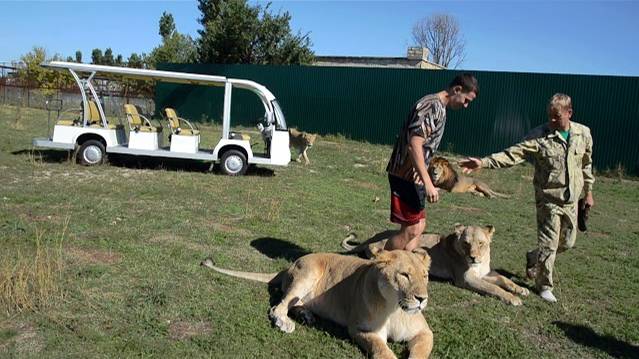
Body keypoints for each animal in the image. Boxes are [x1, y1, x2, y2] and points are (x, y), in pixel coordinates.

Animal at [201, 250, 436, 359]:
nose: (422, 299)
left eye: (425, 276)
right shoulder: (360, 329)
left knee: (293, 303)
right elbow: (381, 348)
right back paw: (285, 322)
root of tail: (289, 265)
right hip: (308, 272)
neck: (395, 309)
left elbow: (421, 351)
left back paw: (306, 315)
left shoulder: (425, 332)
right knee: (279, 306)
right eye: (404, 275)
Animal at [344, 225, 528, 306]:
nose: (473, 257)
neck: (482, 260)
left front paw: (521, 289)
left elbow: (504, 279)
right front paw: (513, 298)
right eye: (466, 243)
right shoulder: (466, 279)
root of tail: (372, 238)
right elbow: (494, 288)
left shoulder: (485, 273)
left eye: (481, 243)